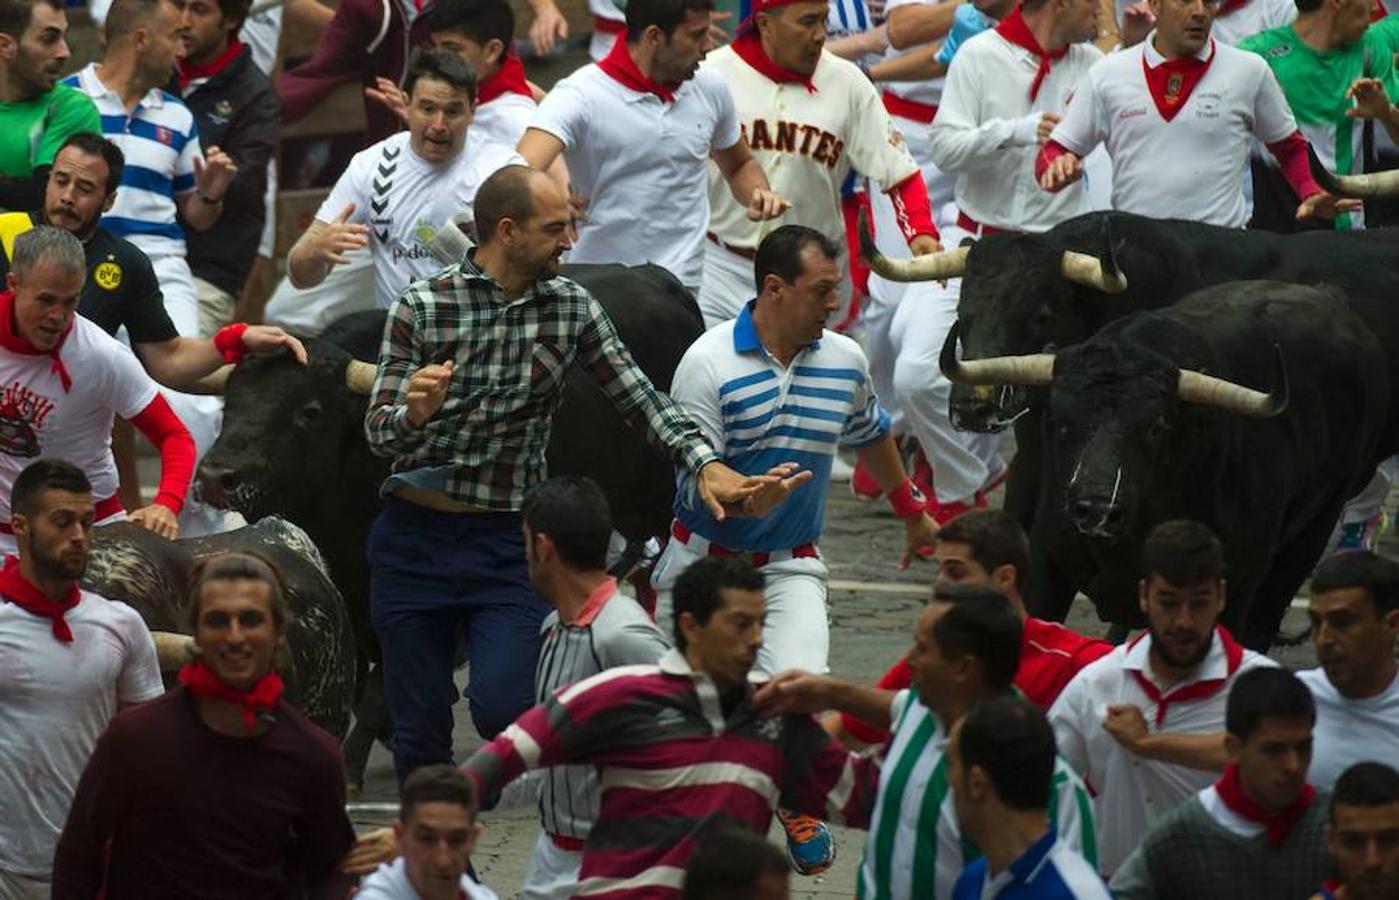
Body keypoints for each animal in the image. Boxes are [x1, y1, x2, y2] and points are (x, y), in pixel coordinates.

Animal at [191, 260, 705, 772]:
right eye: (229, 403)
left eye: (309, 411)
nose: (217, 476)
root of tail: (654, 278)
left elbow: (380, 692)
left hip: (659, 504)